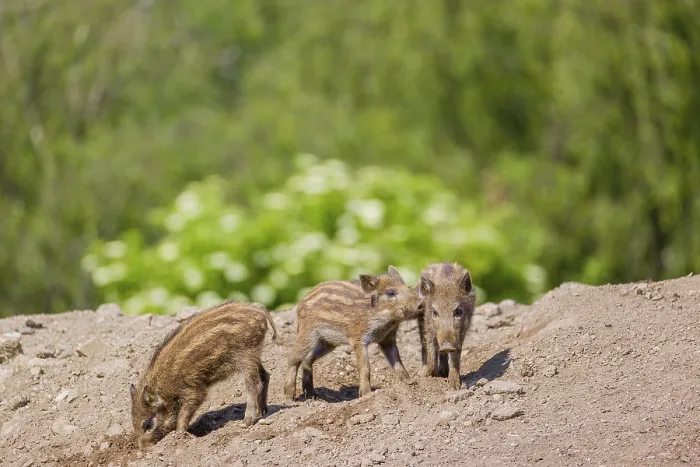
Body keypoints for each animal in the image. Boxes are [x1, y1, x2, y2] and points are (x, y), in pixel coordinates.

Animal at [129, 300, 277, 449]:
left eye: (148, 425)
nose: (143, 448)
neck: (163, 386)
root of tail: (260, 311)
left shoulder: (193, 389)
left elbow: (185, 413)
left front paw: (180, 434)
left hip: (245, 354)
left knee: (254, 385)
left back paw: (246, 422)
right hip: (254, 355)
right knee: (266, 376)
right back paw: (264, 411)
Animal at [283, 266, 421, 400]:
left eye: (407, 288)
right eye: (391, 293)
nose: (420, 303)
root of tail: (301, 303)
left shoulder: (387, 339)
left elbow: (398, 361)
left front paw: (411, 383)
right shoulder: (359, 340)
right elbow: (365, 368)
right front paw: (367, 395)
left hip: (327, 343)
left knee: (307, 359)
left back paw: (312, 395)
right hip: (308, 334)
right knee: (293, 358)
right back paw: (289, 397)